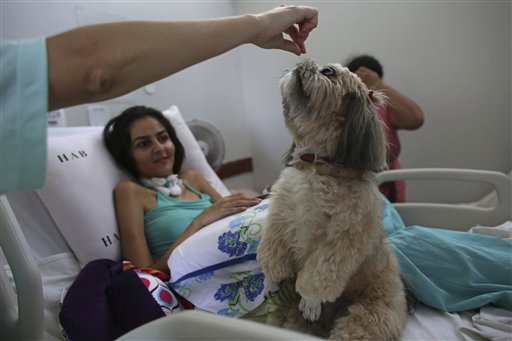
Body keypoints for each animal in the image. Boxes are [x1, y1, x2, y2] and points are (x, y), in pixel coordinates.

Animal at [258, 59, 406, 340]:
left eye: (328, 72)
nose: (302, 62)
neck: (318, 165)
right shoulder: (281, 216)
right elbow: (274, 251)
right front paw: (271, 280)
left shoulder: (343, 238)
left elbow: (322, 270)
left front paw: (311, 300)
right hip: (295, 323)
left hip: (367, 317)